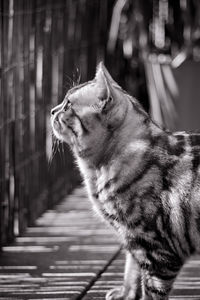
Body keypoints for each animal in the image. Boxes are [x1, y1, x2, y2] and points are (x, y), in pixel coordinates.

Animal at [50, 62, 200, 298]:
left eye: (67, 106)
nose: (52, 110)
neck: (97, 171)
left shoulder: (159, 251)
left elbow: (151, 289)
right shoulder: (134, 239)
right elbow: (132, 269)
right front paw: (126, 293)